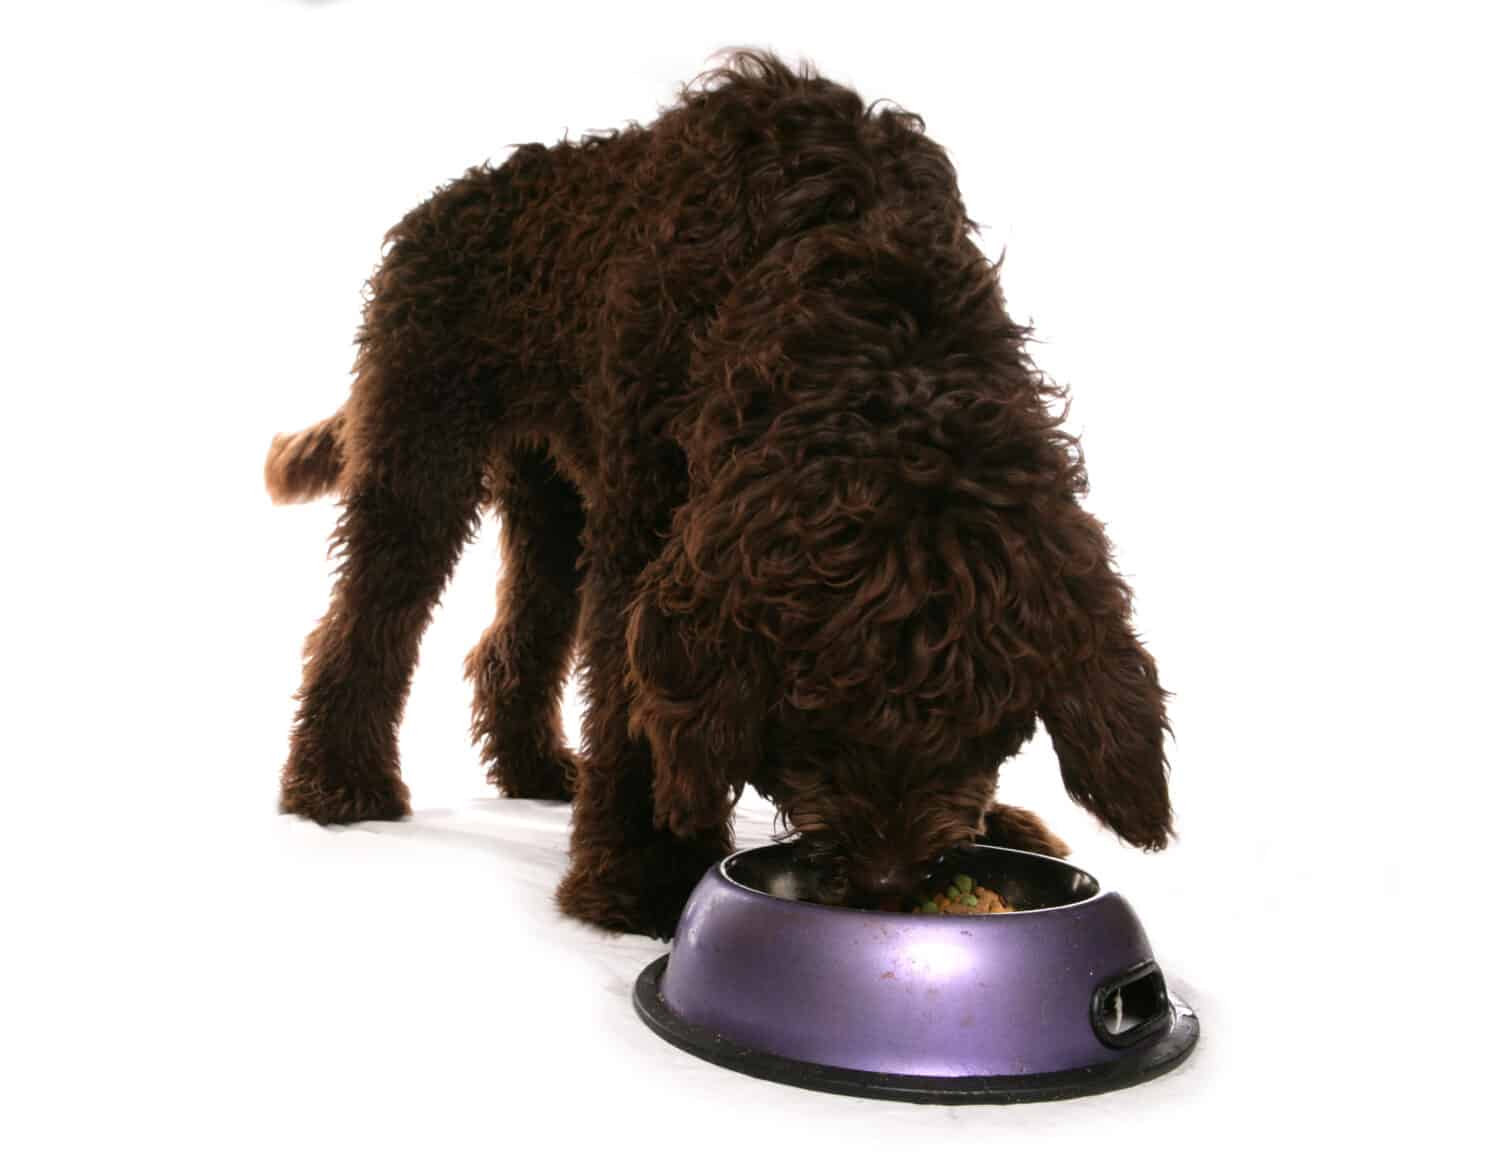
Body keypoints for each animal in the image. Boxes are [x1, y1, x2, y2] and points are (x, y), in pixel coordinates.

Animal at [267, 49, 1170, 942]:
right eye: (812, 714)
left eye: (983, 721)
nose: (885, 884)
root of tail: (445, 202)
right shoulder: (648, 524)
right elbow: (635, 706)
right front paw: (651, 873)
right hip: (419, 447)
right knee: (369, 617)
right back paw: (338, 783)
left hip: (553, 499)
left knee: (517, 631)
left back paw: (535, 767)